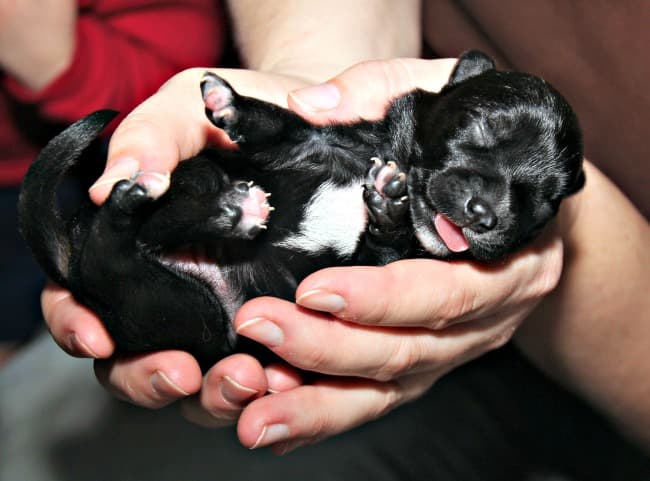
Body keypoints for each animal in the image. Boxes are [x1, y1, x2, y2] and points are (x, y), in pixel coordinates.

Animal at [17, 50, 584, 368]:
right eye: (482, 126)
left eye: (542, 204)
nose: (487, 214)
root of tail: (72, 265)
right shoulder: (305, 143)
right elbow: (274, 126)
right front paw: (229, 102)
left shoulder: (371, 266)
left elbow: (380, 249)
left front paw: (388, 206)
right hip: (197, 188)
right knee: (151, 224)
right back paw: (204, 208)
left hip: (185, 313)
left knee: (122, 252)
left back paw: (219, 214)